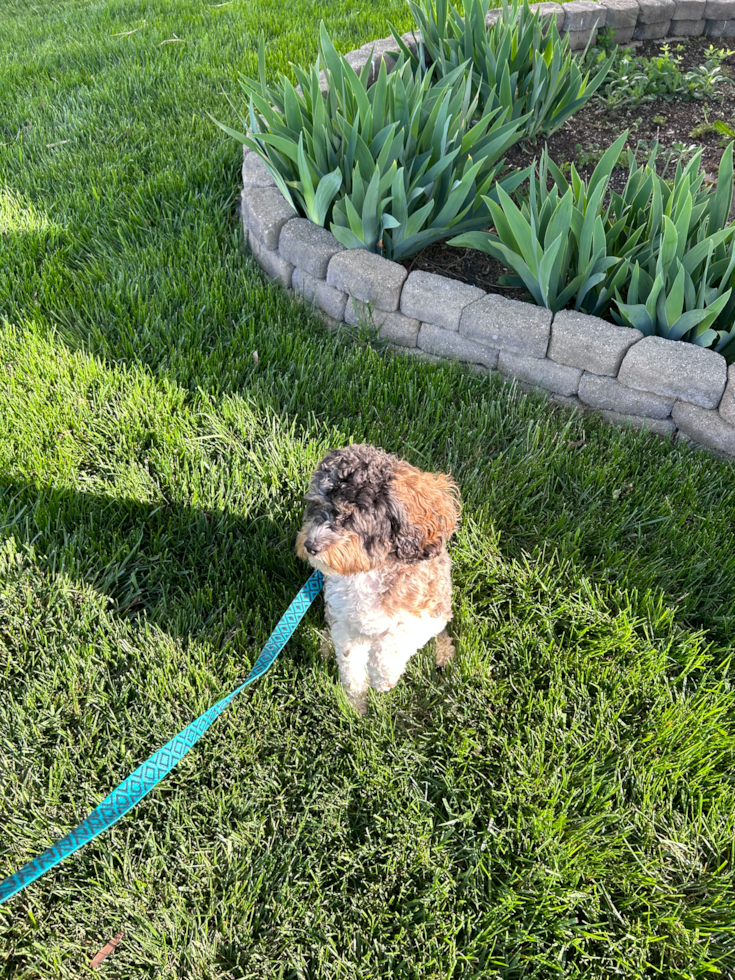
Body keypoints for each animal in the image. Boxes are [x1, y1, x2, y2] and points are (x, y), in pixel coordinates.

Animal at [294, 444, 458, 712]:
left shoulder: (429, 612)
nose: (310, 545)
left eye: (350, 517)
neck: (368, 571)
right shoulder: (343, 621)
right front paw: (355, 703)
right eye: (316, 506)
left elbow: (394, 643)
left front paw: (383, 679)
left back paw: (443, 655)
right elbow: (350, 662)